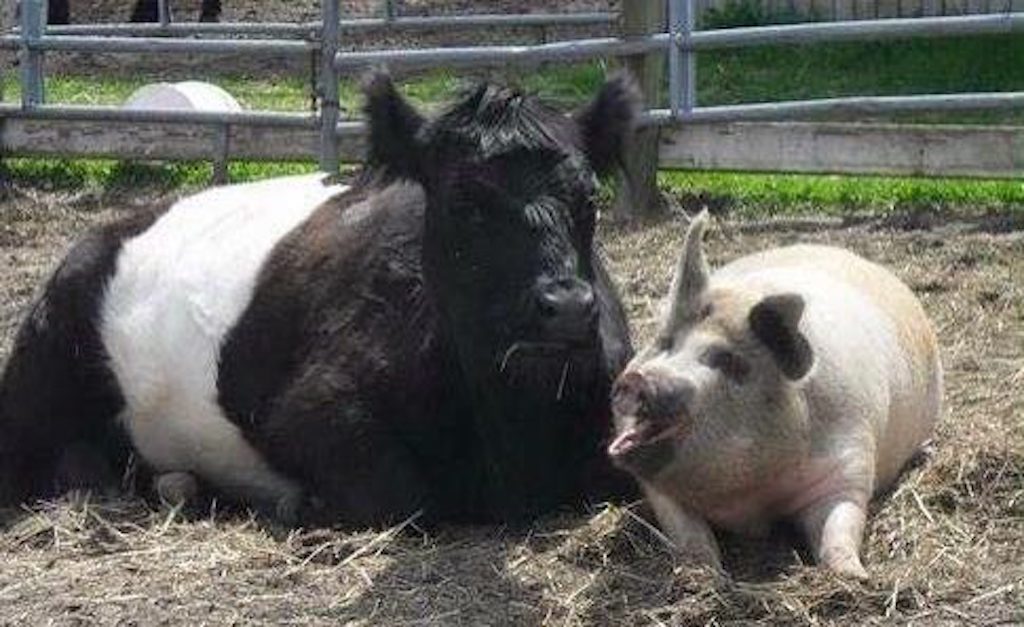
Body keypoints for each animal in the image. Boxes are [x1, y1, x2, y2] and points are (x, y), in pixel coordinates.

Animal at [0, 73, 639, 527]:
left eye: (590, 199)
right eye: (465, 203)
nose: (566, 306)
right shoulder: (304, 409)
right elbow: (399, 495)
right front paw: (301, 506)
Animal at [607, 211, 943, 579]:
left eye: (729, 361)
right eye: (666, 342)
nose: (637, 378)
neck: (748, 495)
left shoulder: (848, 464)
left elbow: (840, 527)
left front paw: (855, 576)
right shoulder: (659, 492)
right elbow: (688, 534)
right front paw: (703, 572)